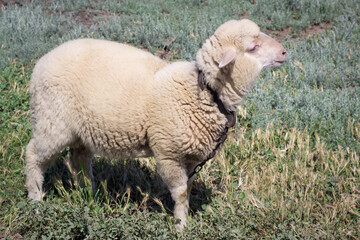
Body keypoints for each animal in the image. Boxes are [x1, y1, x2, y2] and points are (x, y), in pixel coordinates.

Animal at [26, 18, 286, 229]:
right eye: (253, 47)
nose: (284, 52)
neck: (203, 92)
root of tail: (43, 60)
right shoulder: (168, 153)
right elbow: (180, 193)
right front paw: (181, 227)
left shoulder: (191, 157)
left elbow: (188, 190)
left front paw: (184, 219)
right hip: (52, 120)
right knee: (33, 155)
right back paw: (36, 201)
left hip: (80, 130)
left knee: (78, 161)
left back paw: (89, 195)